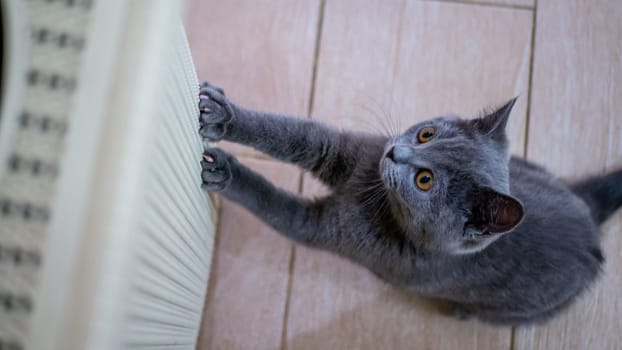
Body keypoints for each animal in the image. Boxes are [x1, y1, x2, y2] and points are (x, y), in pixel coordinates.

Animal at [197, 81, 620, 326]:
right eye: (426, 133)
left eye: (424, 180)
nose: (394, 152)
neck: (378, 198)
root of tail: (589, 223)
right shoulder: (344, 151)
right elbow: (290, 133)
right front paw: (221, 116)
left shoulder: (323, 228)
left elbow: (276, 205)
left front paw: (226, 172)